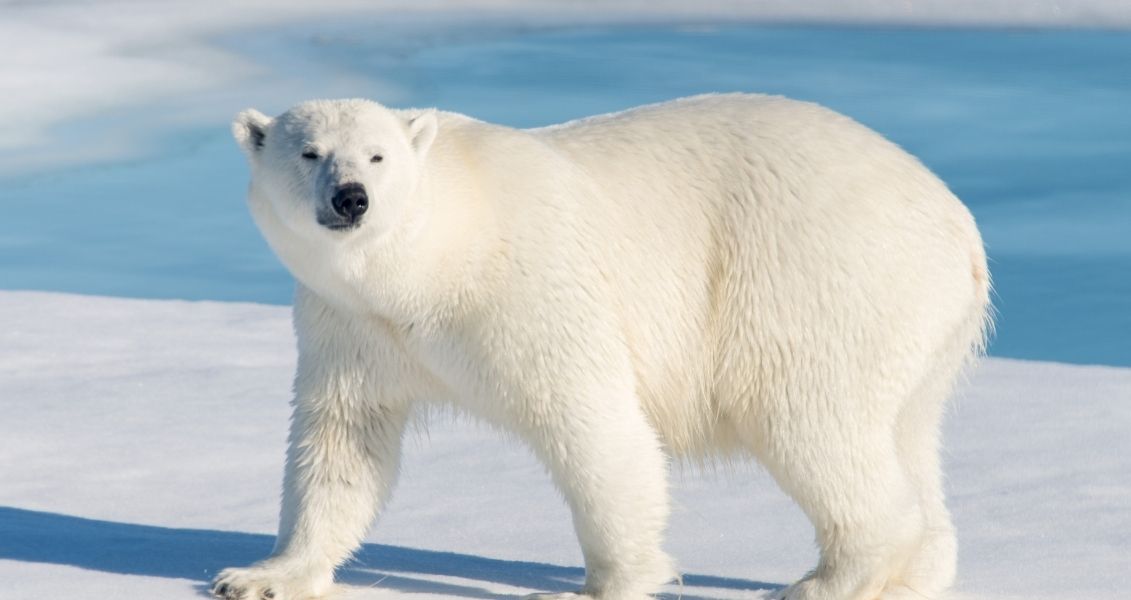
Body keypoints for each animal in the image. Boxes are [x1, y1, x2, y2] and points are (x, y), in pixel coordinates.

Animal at [214, 93, 991, 600]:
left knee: (809, 421)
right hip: (915, 325)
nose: (351, 197)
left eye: (377, 155)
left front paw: (599, 586)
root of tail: (959, 226)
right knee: (905, 433)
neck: (433, 261)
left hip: (816, 280)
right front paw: (259, 576)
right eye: (309, 152)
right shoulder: (353, 326)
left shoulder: (528, 289)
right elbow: (343, 443)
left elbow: (593, 425)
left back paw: (825, 581)